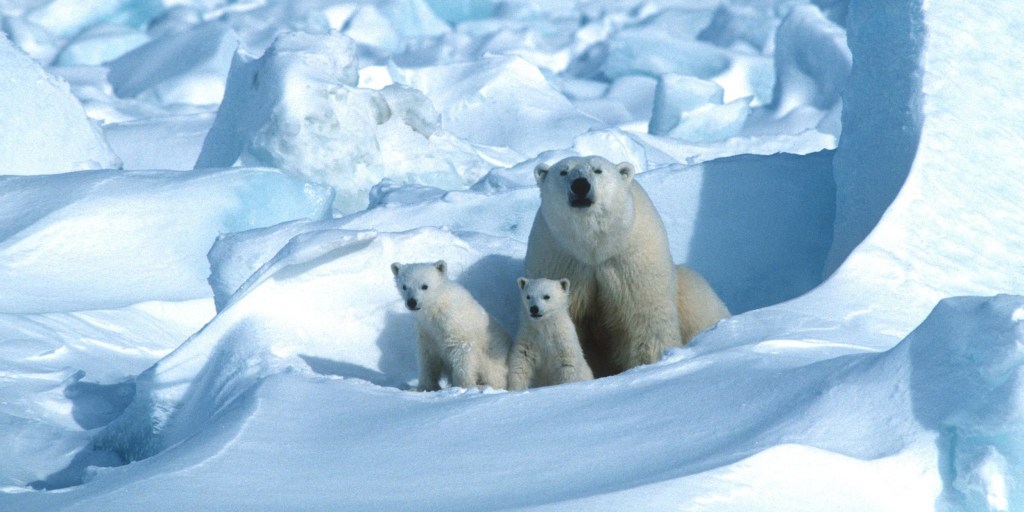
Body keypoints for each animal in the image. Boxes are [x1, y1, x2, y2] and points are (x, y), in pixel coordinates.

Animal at [528, 154, 729, 376]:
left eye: (598, 170)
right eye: (564, 171)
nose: (580, 185)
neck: (594, 247)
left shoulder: (630, 259)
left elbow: (644, 317)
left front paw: (649, 363)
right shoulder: (561, 259)